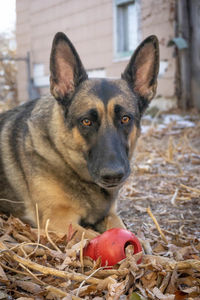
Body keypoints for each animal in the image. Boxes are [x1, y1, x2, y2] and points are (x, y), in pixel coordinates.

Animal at [0, 32, 159, 238]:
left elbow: (123, 229)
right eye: (86, 121)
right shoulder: (58, 222)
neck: (61, 154)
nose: (113, 176)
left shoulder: (110, 214)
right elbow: (93, 237)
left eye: (125, 119)